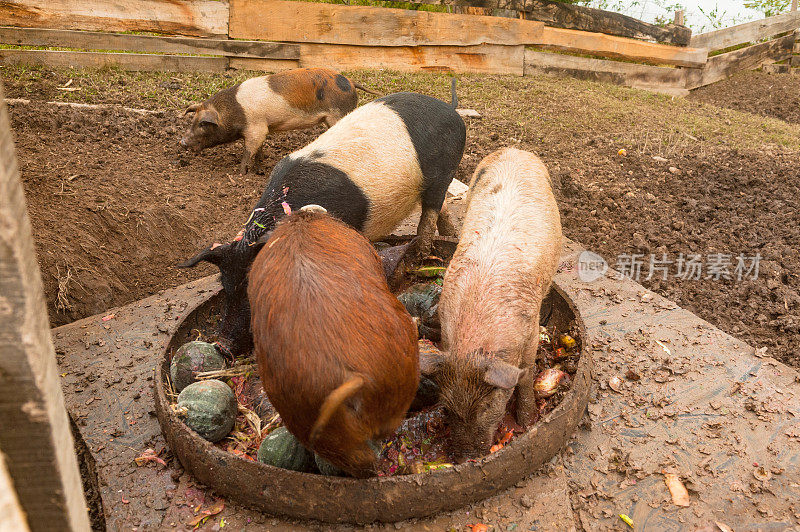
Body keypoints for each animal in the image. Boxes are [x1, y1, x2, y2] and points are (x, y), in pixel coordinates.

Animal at [178, 67, 378, 172]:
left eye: (203, 124)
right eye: (193, 120)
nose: (182, 142)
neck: (233, 111)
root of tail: (351, 82)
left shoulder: (256, 127)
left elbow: (249, 149)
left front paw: (241, 172)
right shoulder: (262, 127)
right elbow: (258, 148)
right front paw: (260, 166)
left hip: (338, 115)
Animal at [181, 83, 466, 358]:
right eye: (224, 284)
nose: (222, 345)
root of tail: (448, 108)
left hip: (444, 170)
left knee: (432, 209)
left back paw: (425, 250)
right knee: (441, 207)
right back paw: (451, 234)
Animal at [418, 149, 564, 462]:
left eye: (486, 407)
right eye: (446, 407)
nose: (465, 458)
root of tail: (514, 150)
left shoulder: (531, 329)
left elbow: (526, 375)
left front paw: (527, 421)